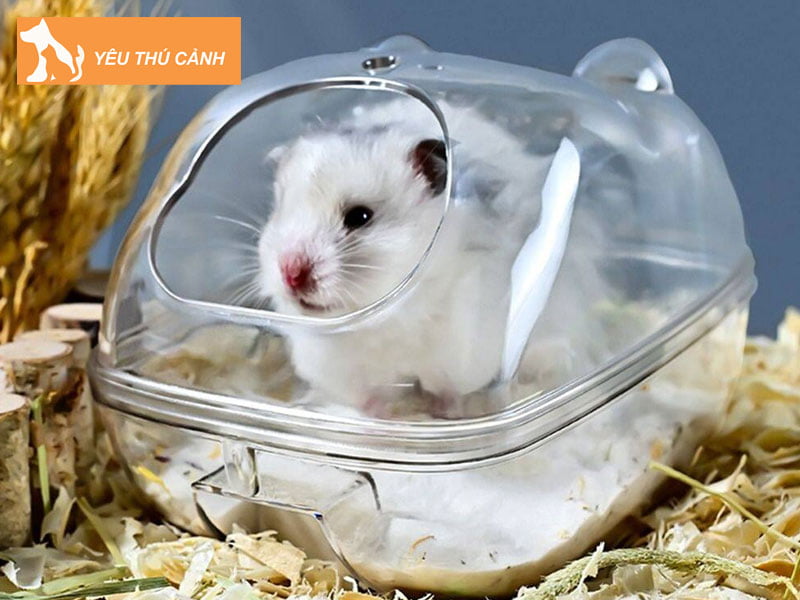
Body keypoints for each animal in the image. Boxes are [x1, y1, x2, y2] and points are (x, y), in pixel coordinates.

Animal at [258, 99, 553, 415]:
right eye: (280, 211)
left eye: (360, 216)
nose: (290, 274)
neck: (388, 318)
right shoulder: (347, 373)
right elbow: (368, 400)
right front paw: (379, 419)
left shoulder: (460, 353)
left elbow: (449, 391)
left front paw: (446, 413)